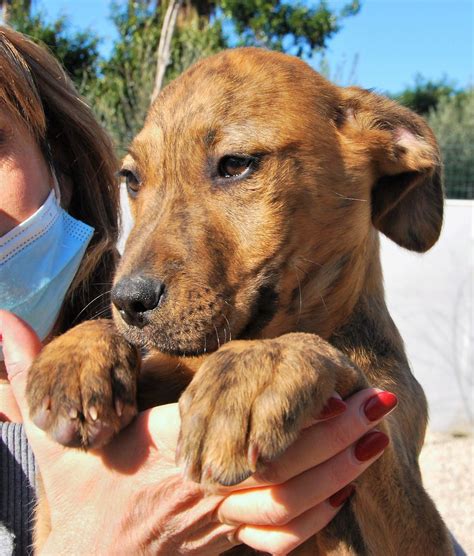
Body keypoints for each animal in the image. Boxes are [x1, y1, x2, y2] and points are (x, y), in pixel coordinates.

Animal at [27, 48, 454, 556]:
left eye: (235, 164)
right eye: (131, 179)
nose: (127, 302)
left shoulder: (417, 517)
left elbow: (328, 365)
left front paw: (258, 370)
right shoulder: (49, 521)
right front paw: (75, 358)